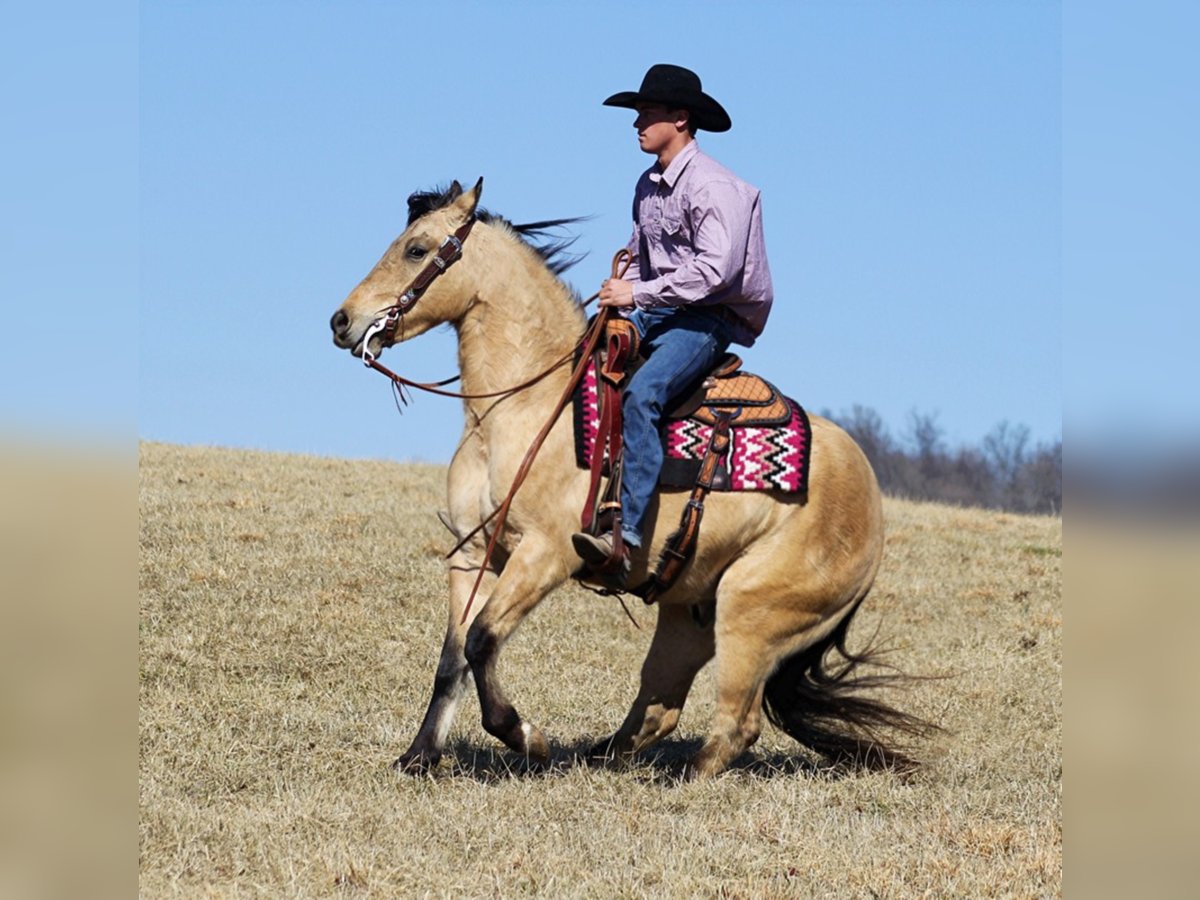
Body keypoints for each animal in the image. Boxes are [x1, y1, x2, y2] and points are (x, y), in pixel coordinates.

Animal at [333, 177, 931, 782]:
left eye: (417, 249)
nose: (341, 321)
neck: (521, 406)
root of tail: (870, 496)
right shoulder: (473, 554)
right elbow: (451, 658)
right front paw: (419, 755)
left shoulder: (545, 554)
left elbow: (481, 641)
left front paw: (526, 737)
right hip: (688, 614)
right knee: (660, 710)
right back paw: (599, 759)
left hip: (751, 609)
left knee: (736, 723)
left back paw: (676, 777)